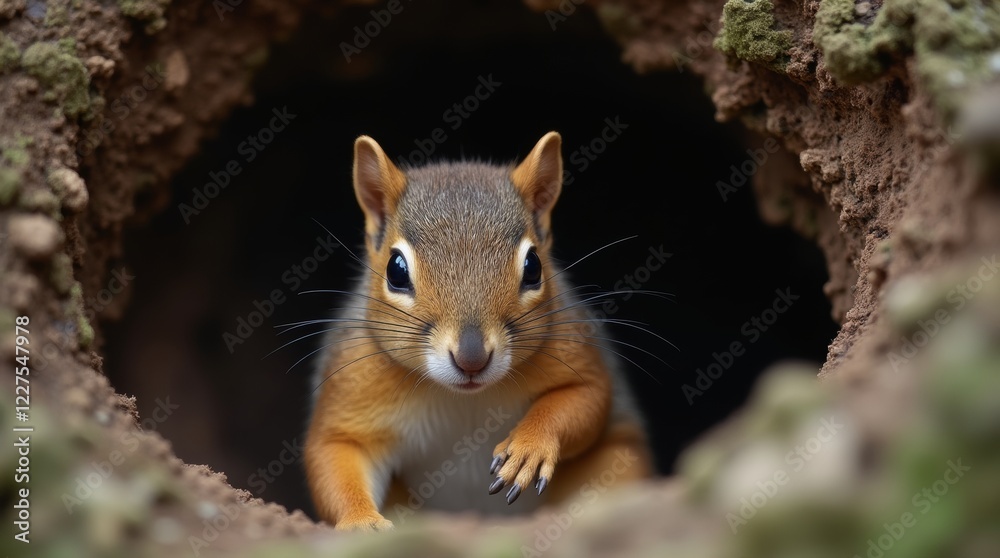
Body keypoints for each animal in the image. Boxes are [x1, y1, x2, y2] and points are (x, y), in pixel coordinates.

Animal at [304, 132, 653, 531]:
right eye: (395, 270)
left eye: (533, 266)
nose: (471, 359)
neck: (462, 397)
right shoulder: (352, 385)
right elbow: (335, 454)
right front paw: (362, 522)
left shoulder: (574, 350)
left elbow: (584, 398)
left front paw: (528, 448)